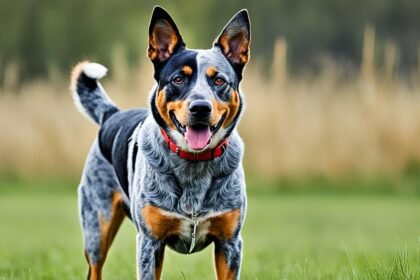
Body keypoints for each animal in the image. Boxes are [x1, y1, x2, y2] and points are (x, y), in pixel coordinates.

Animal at [70, 6, 251, 280]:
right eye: (178, 79)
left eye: (219, 80)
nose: (200, 108)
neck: (193, 166)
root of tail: (111, 114)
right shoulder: (150, 242)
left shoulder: (230, 242)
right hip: (96, 228)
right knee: (95, 267)